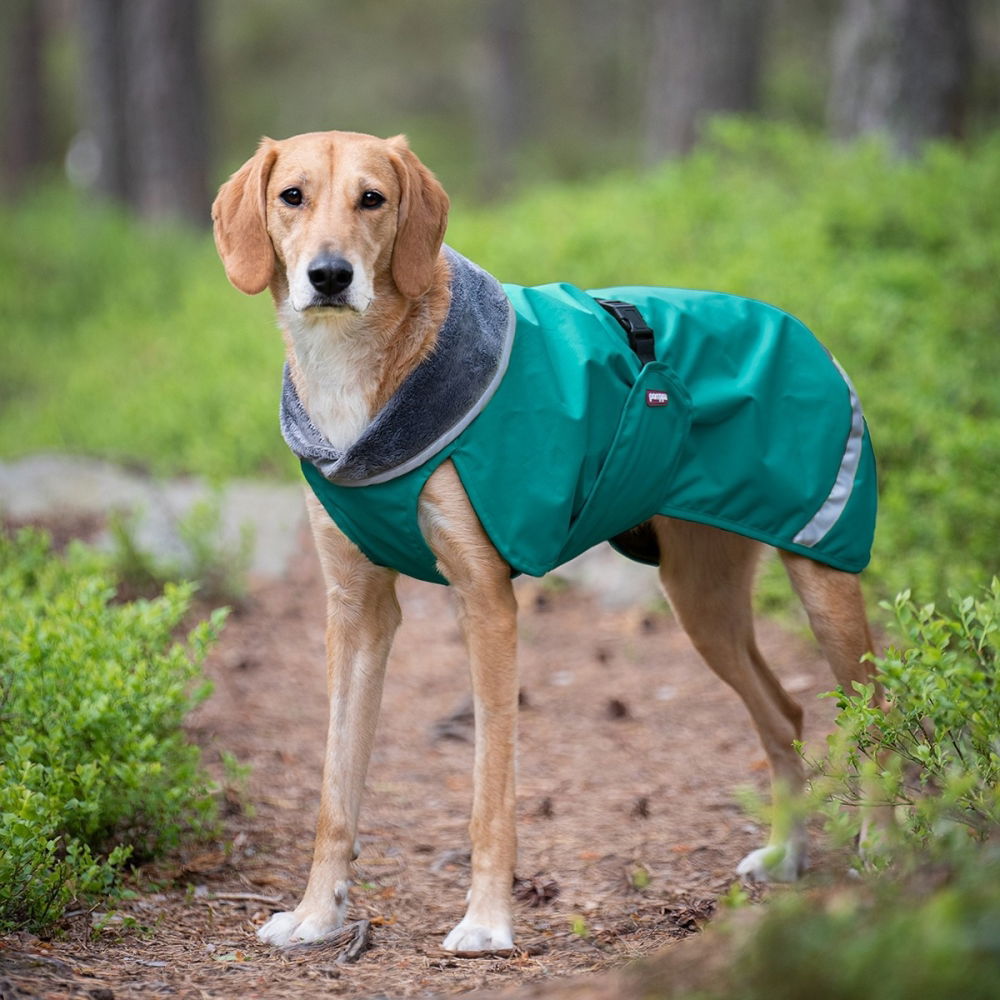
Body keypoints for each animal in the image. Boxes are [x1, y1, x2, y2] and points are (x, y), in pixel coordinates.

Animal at [213, 129, 876, 948]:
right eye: (292, 197)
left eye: (373, 198)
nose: (330, 276)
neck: (363, 381)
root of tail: (802, 328)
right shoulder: (355, 610)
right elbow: (336, 790)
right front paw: (316, 915)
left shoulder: (486, 603)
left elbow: (490, 792)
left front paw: (487, 922)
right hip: (703, 601)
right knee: (785, 714)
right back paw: (787, 855)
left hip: (824, 572)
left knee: (881, 713)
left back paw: (886, 846)